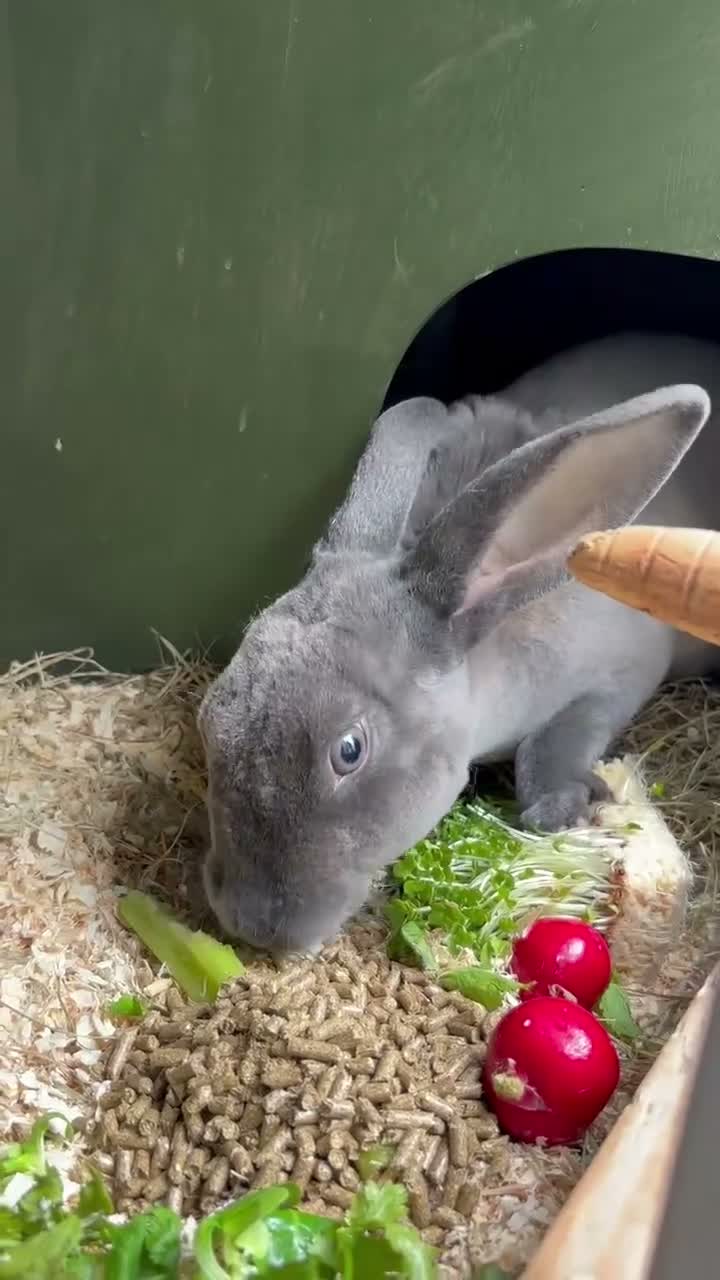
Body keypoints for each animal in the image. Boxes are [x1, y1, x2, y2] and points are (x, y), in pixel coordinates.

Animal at [199, 331, 719, 953]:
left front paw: (562, 806)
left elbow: (560, 739)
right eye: (208, 717)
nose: (252, 925)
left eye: (348, 751)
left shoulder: (623, 670)